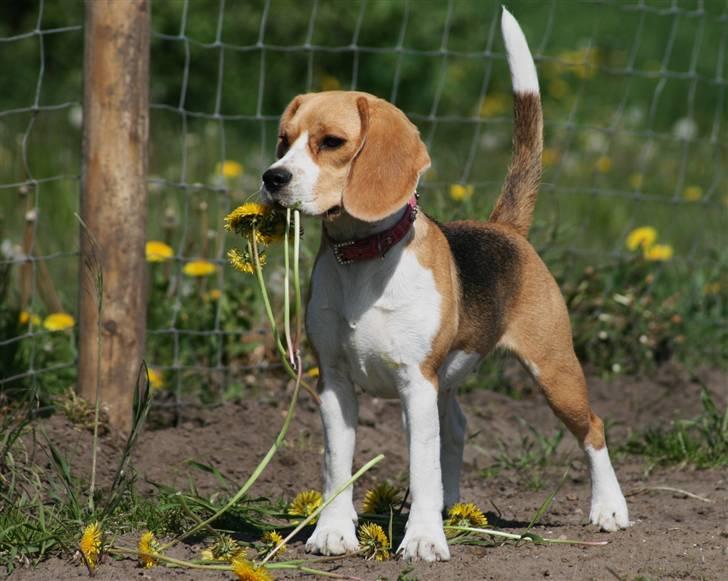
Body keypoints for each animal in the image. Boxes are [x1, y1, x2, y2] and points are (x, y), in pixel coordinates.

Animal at [258, 6, 628, 560]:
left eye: (332, 143)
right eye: (284, 141)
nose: (272, 177)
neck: (364, 258)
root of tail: (504, 229)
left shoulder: (416, 382)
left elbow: (422, 468)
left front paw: (423, 540)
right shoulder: (336, 384)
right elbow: (336, 466)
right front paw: (333, 532)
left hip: (553, 371)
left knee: (594, 429)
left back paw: (609, 509)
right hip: (447, 382)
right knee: (455, 427)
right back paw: (452, 506)